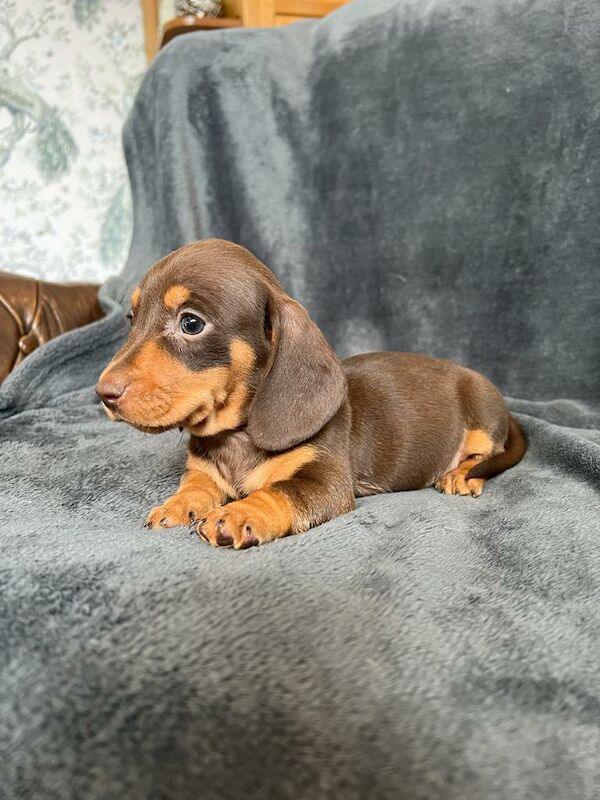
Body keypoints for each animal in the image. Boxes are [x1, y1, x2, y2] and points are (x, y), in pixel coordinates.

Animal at [97, 239, 524, 552]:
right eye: (132, 318)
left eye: (190, 323)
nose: (103, 394)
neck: (236, 434)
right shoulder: (203, 470)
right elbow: (197, 486)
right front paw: (179, 504)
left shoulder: (325, 481)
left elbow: (282, 491)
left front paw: (238, 514)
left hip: (481, 412)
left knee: (484, 454)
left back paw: (460, 474)